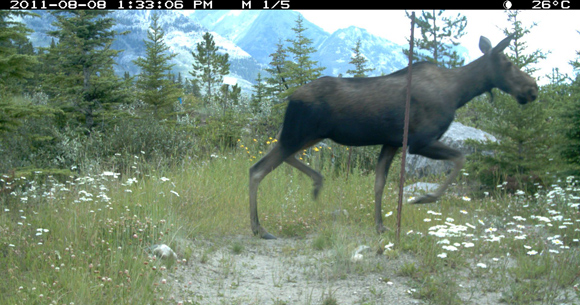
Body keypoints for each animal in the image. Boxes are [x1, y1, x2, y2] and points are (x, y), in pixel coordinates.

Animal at [248, 33, 540, 238]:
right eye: (509, 62)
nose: (533, 88)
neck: (459, 93)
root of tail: (288, 97)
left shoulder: (391, 142)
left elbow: (379, 184)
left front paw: (380, 226)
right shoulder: (420, 141)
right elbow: (460, 158)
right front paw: (423, 198)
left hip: (305, 135)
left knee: (272, 161)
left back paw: (316, 183)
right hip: (299, 133)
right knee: (258, 169)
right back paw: (259, 228)